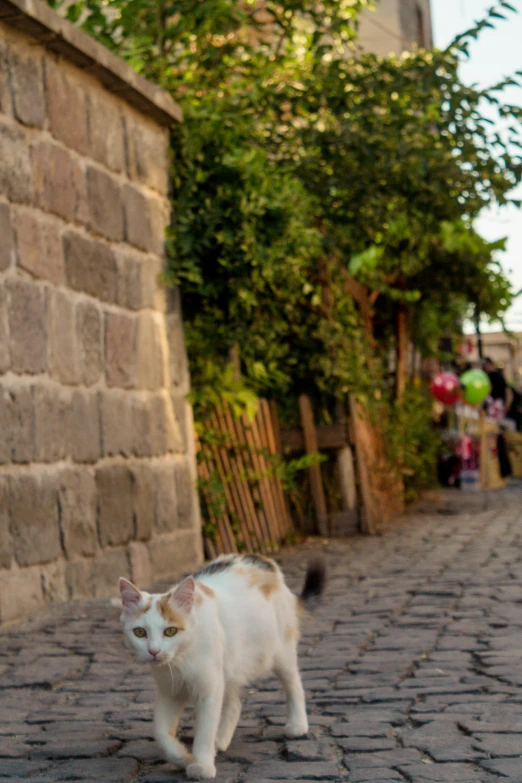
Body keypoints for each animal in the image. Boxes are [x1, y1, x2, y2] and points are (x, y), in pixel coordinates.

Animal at [119, 556, 322, 780]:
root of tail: (265, 561)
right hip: (229, 668)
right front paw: (183, 757)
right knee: (235, 704)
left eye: (170, 631)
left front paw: (201, 765)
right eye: (139, 632)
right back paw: (221, 740)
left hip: (280, 651)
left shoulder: (209, 689)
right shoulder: (170, 692)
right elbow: (160, 733)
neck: (180, 659)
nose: (154, 651)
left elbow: (205, 730)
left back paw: (297, 725)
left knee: (294, 684)